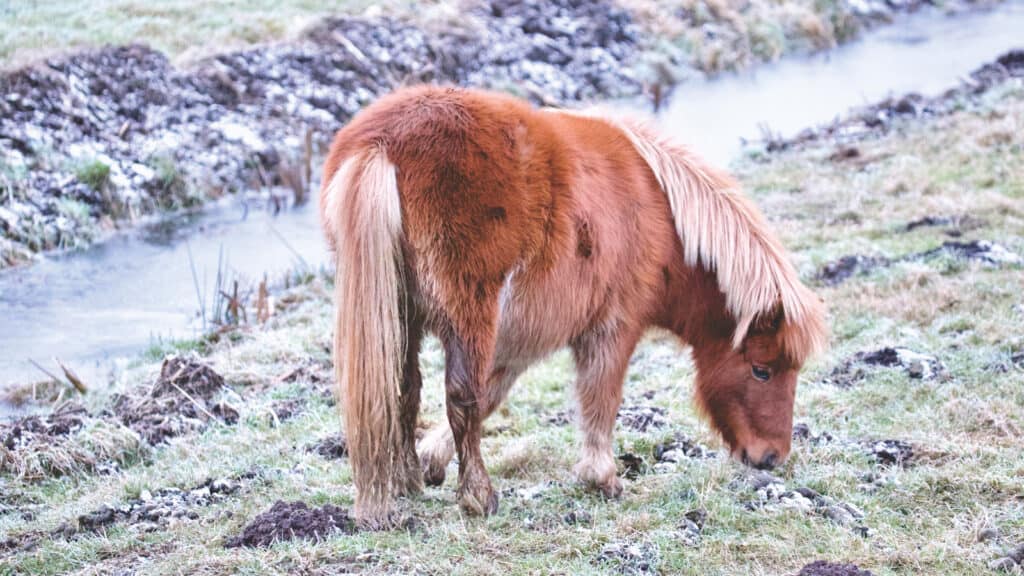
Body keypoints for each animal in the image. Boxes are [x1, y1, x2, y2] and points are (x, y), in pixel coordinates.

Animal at [319, 83, 831, 528]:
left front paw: (431, 461)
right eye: (762, 370)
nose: (771, 457)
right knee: (459, 397)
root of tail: (383, 144)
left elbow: (494, 392)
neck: (661, 215)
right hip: (469, 315)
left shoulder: (520, 337)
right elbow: (598, 396)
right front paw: (601, 478)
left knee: (403, 391)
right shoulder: (612, 328)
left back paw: (406, 482)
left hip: (400, 316)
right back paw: (479, 498)